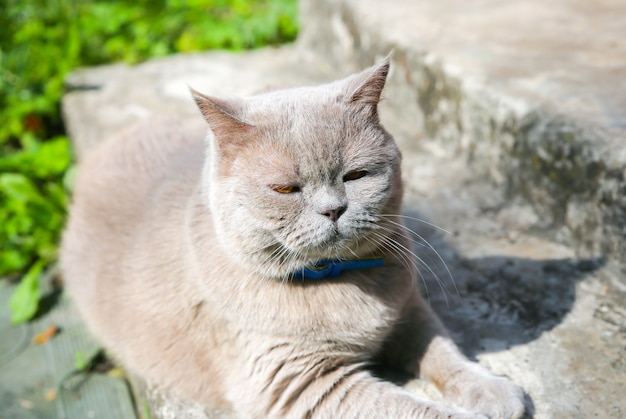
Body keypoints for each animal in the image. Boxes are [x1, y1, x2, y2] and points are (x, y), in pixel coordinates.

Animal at [61, 59, 524, 419]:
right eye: (285, 189)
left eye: (356, 176)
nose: (333, 209)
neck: (340, 282)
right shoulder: (299, 383)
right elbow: (410, 408)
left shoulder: (408, 309)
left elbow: (444, 350)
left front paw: (495, 390)